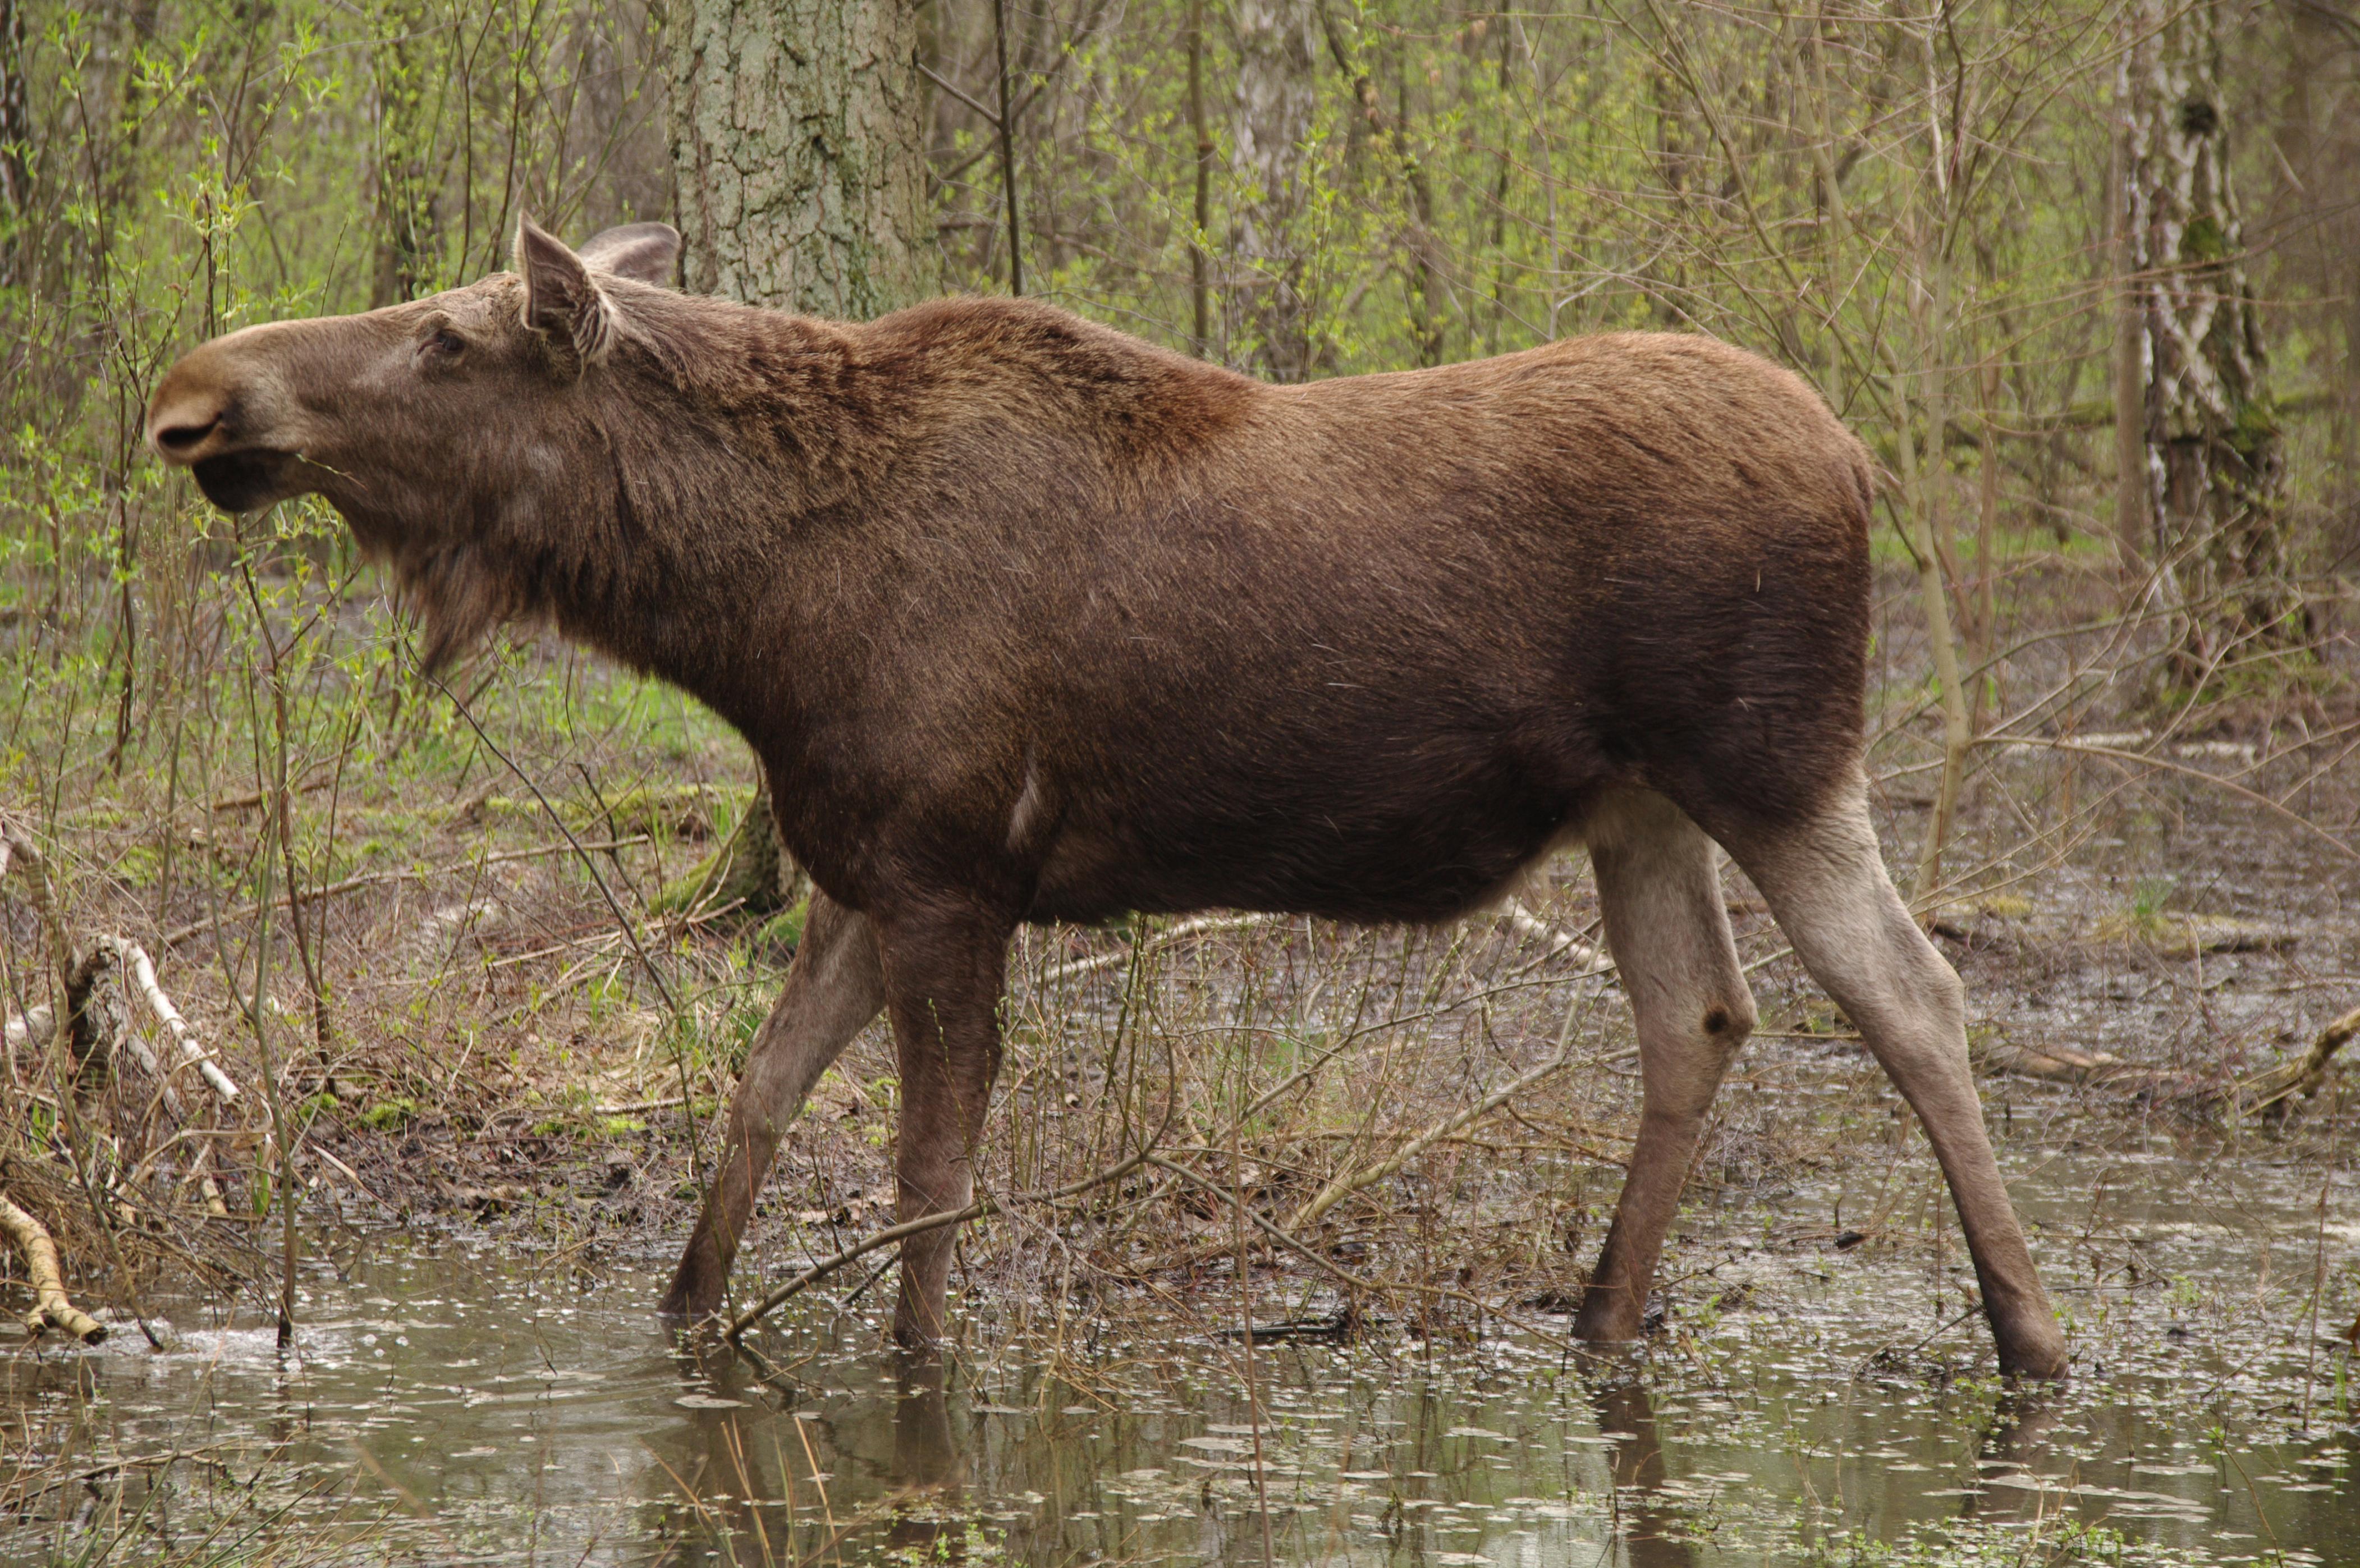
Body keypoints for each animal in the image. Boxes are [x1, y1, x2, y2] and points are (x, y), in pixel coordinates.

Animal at [152, 217, 2067, 1369]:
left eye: (447, 337)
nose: (192, 395)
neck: (750, 616)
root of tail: (1859, 455)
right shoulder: (862, 868)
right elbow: (759, 1102)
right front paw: (686, 1328)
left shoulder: (951, 878)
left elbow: (928, 1176)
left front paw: (914, 1374)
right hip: (1635, 807)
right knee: (1700, 1019)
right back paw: (1603, 1312)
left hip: (1776, 760)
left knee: (1913, 995)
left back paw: (2026, 1334)